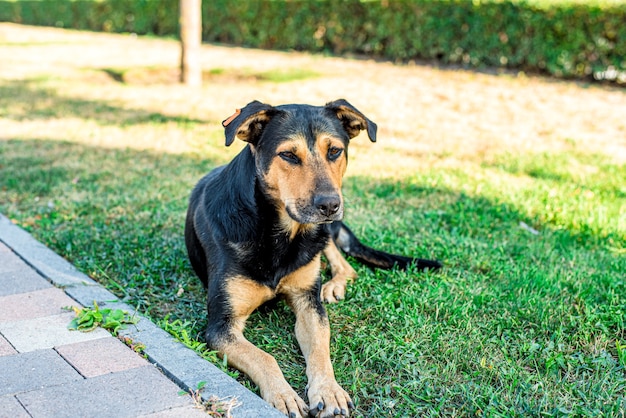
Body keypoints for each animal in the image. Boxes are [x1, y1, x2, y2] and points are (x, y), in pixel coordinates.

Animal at [183, 99, 442, 416]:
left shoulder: (309, 303)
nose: (330, 205)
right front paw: (284, 395)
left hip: (323, 233)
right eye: (288, 155)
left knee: (344, 265)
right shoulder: (220, 327)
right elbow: (263, 357)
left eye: (335, 151)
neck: (278, 234)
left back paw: (333, 286)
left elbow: (320, 350)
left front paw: (329, 391)